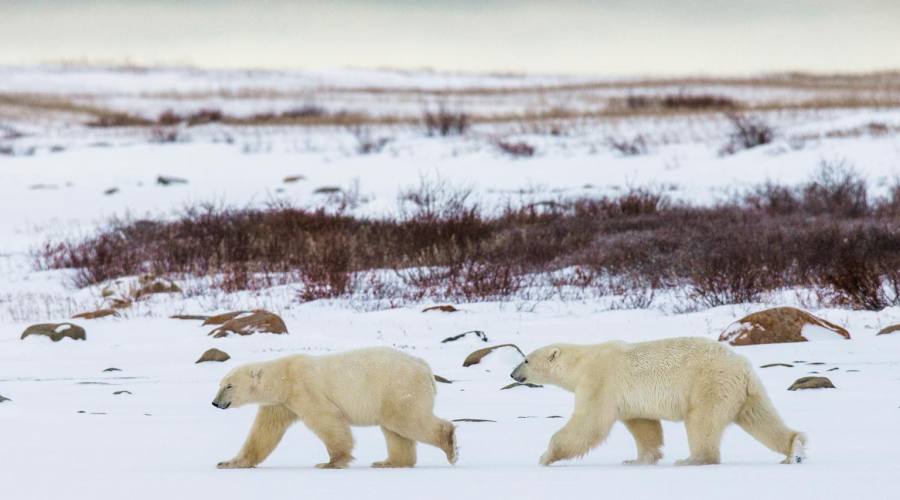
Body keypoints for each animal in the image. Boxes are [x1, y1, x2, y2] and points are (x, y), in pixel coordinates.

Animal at [212, 348, 458, 468]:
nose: (215, 403)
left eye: (229, 386)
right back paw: (389, 462)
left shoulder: (304, 389)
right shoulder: (280, 403)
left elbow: (327, 419)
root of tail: (424, 367)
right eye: (220, 384)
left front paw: (331, 462)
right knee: (394, 430)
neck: (283, 378)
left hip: (398, 388)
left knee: (407, 420)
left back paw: (450, 446)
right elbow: (264, 432)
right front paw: (229, 463)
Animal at [506, 338, 808, 466]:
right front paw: (637, 460)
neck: (582, 362)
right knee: (761, 418)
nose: (512, 374)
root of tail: (743, 368)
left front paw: (545, 456)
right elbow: (643, 425)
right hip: (745, 392)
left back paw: (693, 459)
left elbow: (589, 424)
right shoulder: (625, 396)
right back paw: (794, 450)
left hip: (709, 383)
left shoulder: (599, 381)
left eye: (525, 359)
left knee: (702, 421)